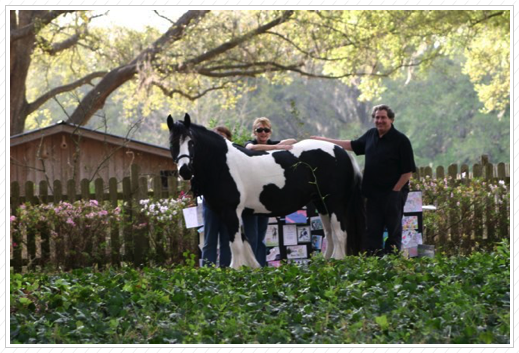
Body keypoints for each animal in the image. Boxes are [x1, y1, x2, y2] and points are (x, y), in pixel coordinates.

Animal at [168, 114, 366, 268]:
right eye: (172, 142)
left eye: (192, 142)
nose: (185, 171)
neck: (222, 165)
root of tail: (340, 151)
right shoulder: (232, 212)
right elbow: (245, 241)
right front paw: (252, 268)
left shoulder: (231, 211)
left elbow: (236, 244)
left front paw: (236, 269)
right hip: (321, 202)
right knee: (330, 233)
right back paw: (326, 262)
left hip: (334, 202)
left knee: (339, 232)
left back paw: (338, 262)